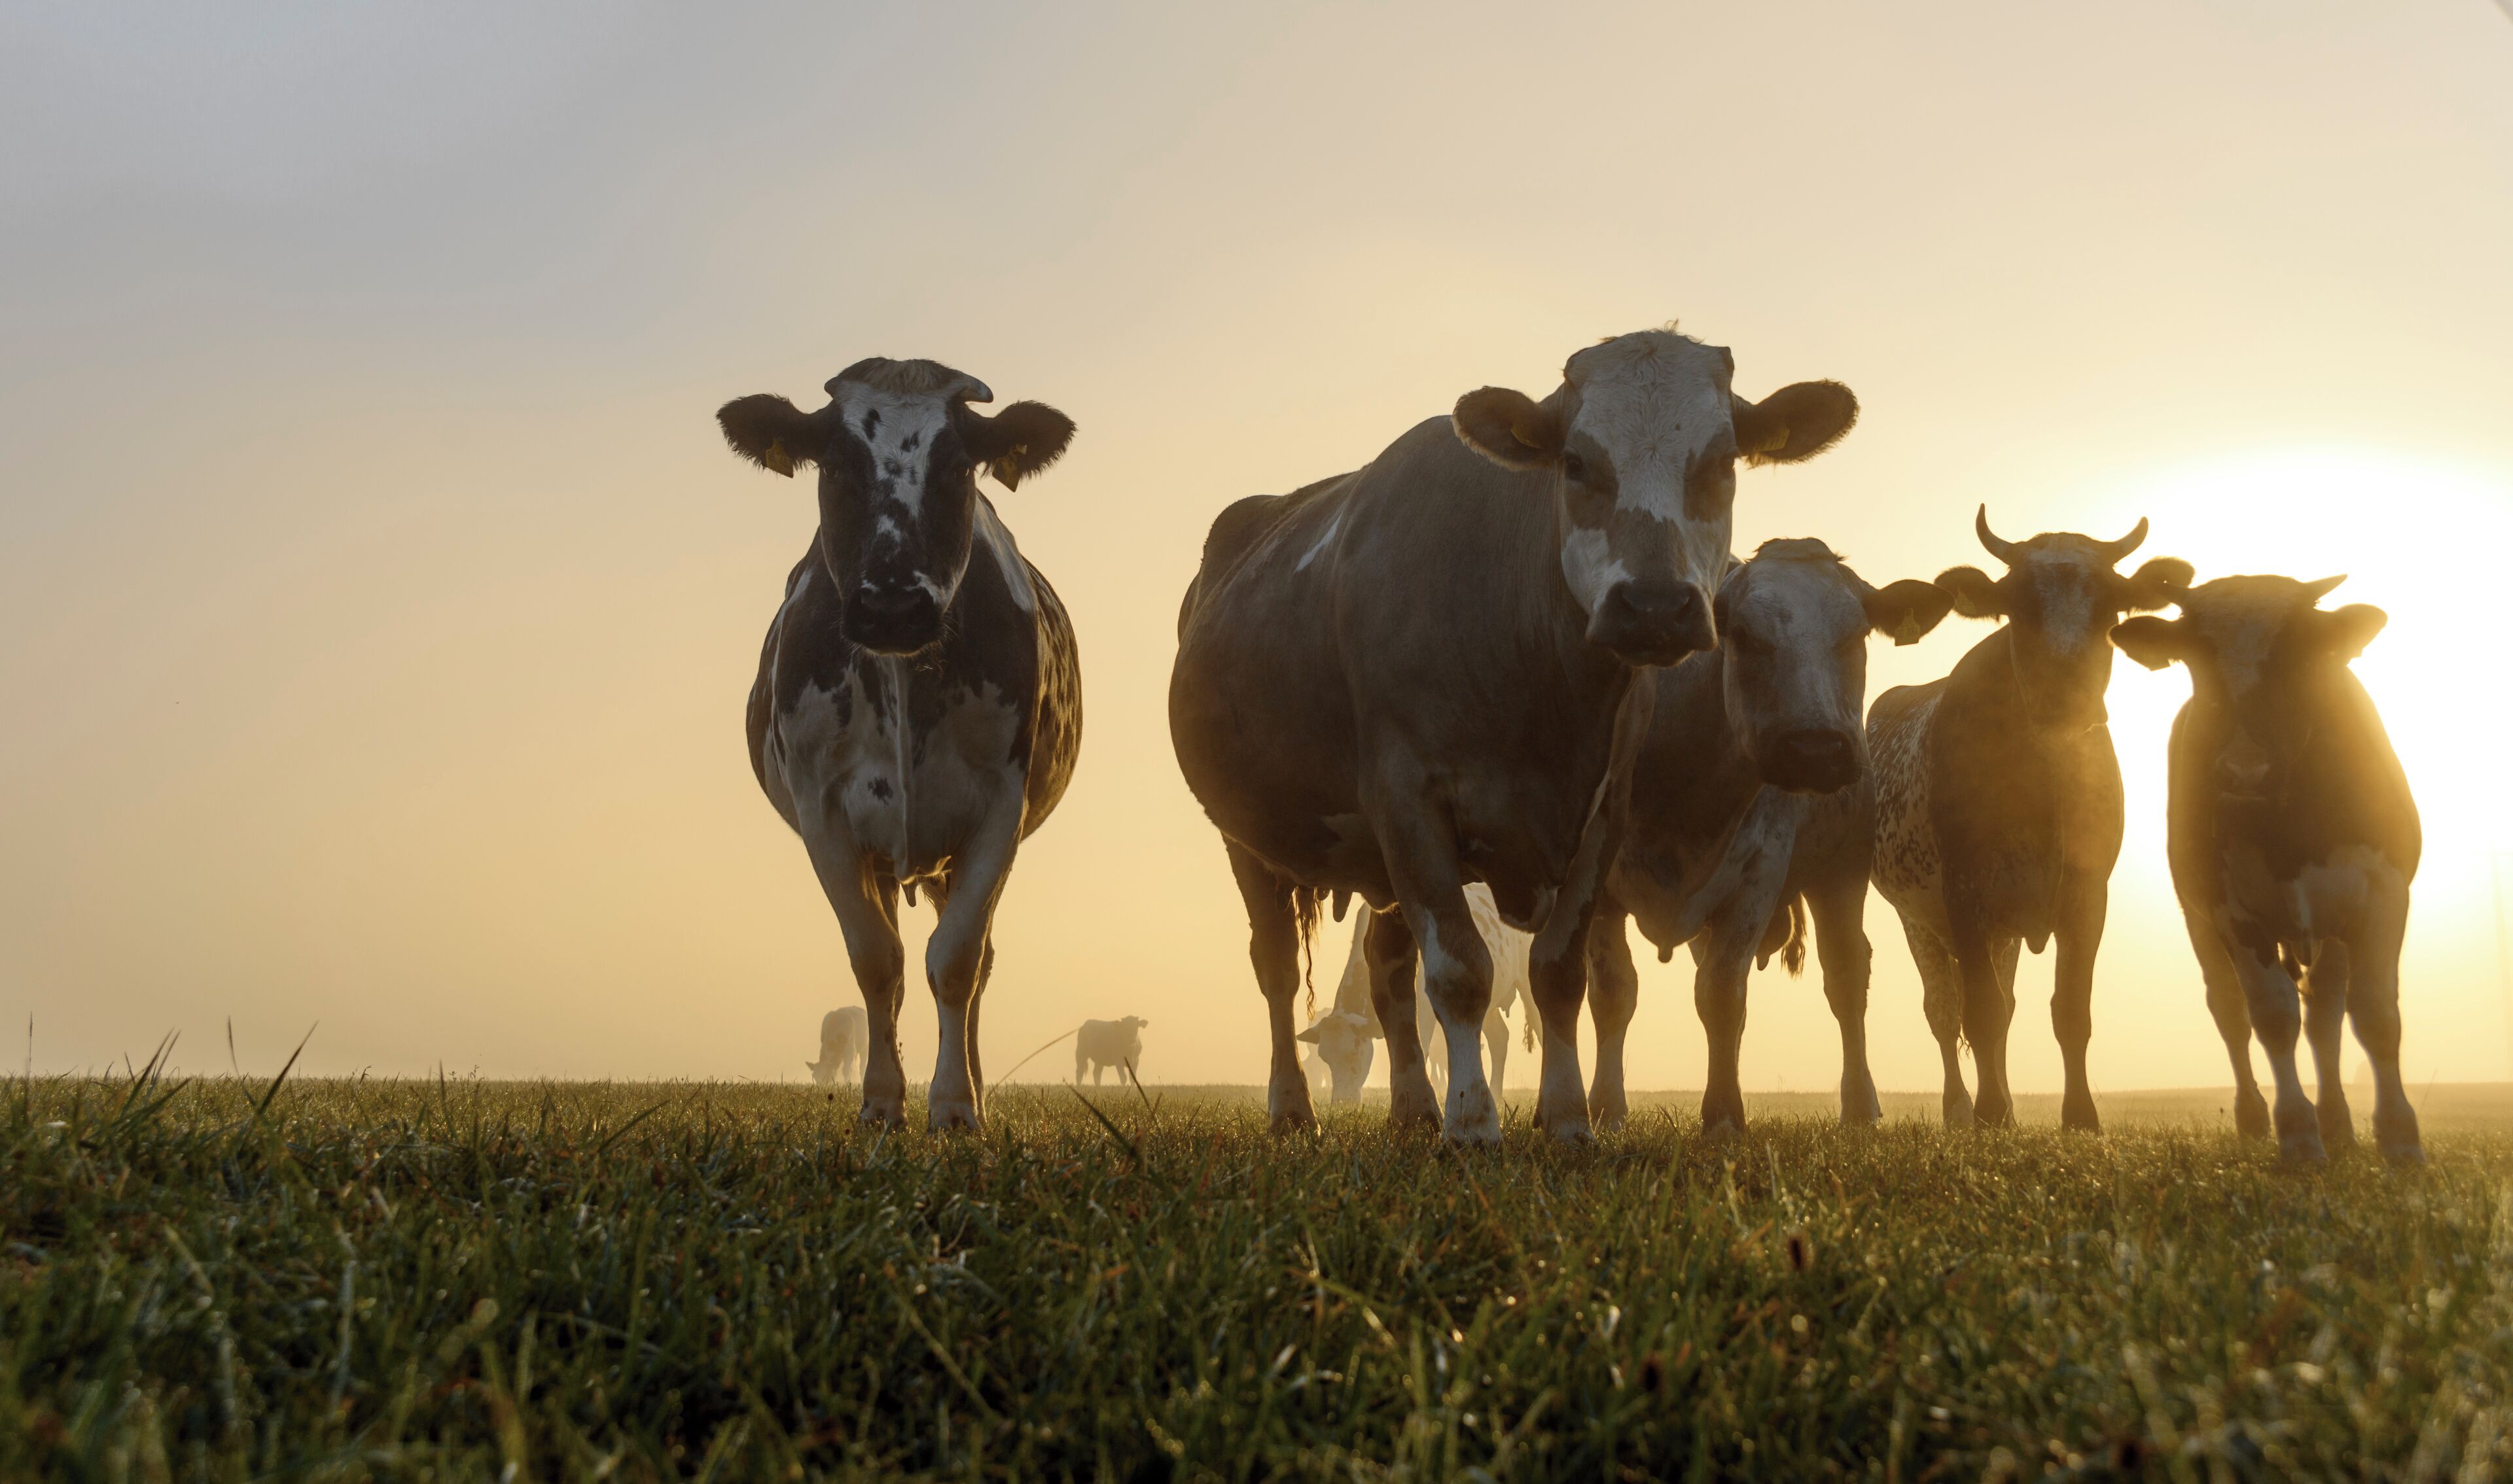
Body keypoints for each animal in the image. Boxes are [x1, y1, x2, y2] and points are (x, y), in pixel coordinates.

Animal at [717, 357, 1081, 1132]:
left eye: (958, 468)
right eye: (834, 466)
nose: (892, 606)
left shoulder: (999, 810)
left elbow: (958, 960)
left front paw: (955, 1105)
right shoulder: (824, 813)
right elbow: (876, 961)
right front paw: (883, 1102)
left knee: (977, 963)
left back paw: (974, 1085)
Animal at [1171, 326, 1860, 1142]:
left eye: (1722, 461)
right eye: (1576, 462)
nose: (1654, 606)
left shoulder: (1602, 813)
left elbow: (1559, 975)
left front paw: (1566, 1119)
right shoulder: (1407, 801)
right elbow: (1460, 973)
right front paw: (1473, 1122)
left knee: (1388, 972)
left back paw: (1412, 1109)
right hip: (1248, 841)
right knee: (1276, 968)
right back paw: (1293, 1108)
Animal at [1586, 539, 1953, 1136]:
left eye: (1856, 634)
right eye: (1743, 635)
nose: (1816, 750)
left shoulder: (1759, 873)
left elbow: (1720, 993)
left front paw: (1723, 1115)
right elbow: (1615, 991)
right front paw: (1605, 1109)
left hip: (1841, 873)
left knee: (1846, 976)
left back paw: (1859, 1106)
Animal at [1868, 508, 2190, 1132]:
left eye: (2111, 606)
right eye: (2018, 605)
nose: (2066, 698)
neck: (2044, 776)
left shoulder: (2088, 893)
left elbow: (2069, 1011)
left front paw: (2079, 1117)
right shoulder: (1965, 892)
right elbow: (1981, 1012)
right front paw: (1989, 1113)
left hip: (2003, 929)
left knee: (2004, 1006)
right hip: (1919, 919)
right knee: (1946, 1011)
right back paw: (1961, 1110)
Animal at [2111, 574, 2423, 1165]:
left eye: (2298, 653)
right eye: (2197, 658)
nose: (2244, 771)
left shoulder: (2384, 892)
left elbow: (2376, 1014)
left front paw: (2400, 1138)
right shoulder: (2230, 908)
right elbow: (2273, 1017)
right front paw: (2298, 1136)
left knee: (2326, 1012)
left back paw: (2338, 1121)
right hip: (2200, 919)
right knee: (2230, 1010)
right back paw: (2255, 1117)